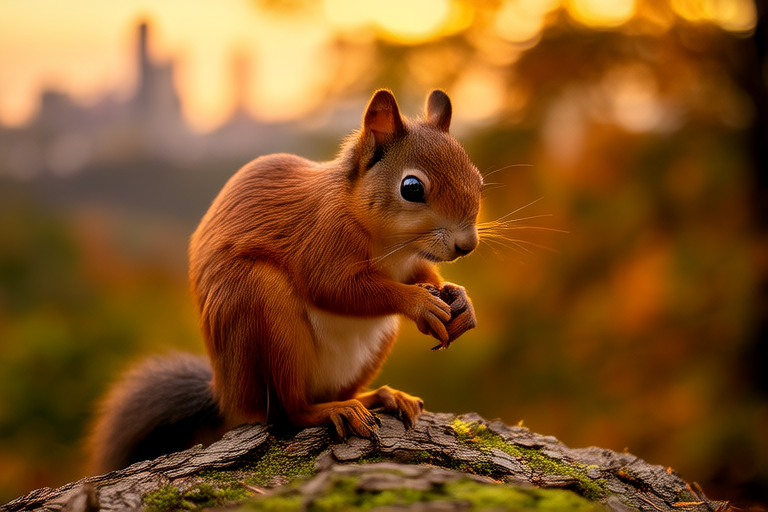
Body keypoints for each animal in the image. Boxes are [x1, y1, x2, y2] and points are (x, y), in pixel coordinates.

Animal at [86, 89, 482, 475]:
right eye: (412, 188)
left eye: (478, 179)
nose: (467, 246)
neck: (392, 244)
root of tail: (227, 395)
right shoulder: (322, 238)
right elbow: (338, 288)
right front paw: (420, 304)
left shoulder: (410, 264)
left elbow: (423, 276)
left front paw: (462, 301)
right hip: (266, 316)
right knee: (289, 411)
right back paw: (333, 410)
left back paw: (379, 397)